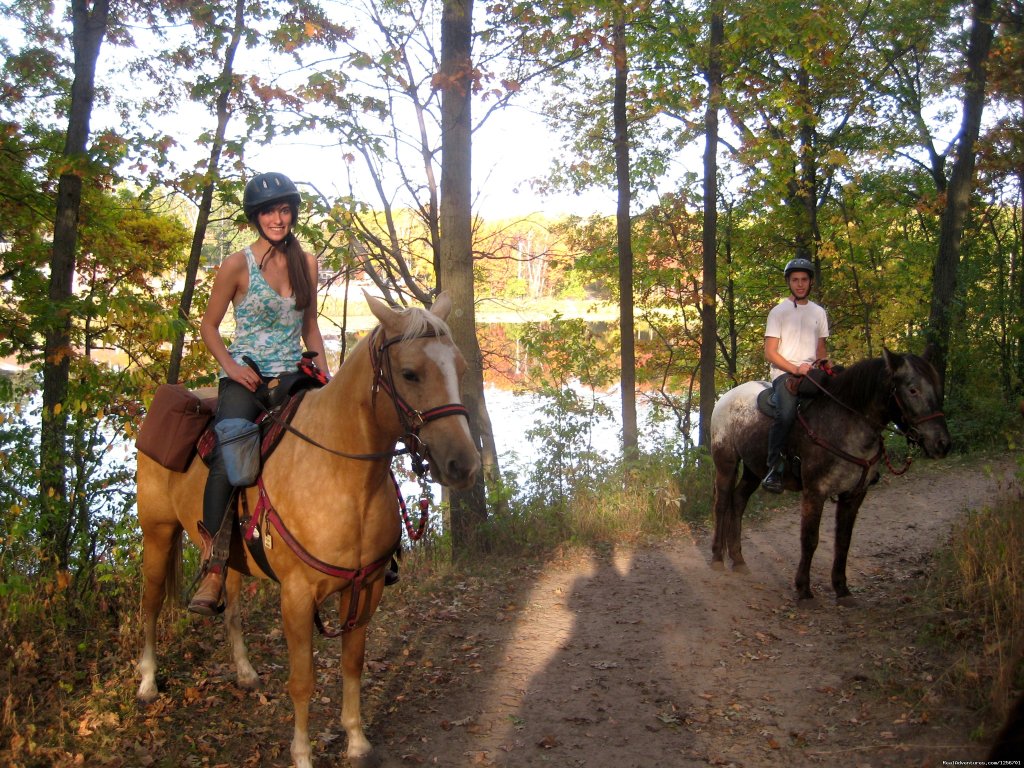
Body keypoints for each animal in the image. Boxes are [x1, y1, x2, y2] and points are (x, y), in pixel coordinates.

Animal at [135, 292, 479, 768]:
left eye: (460, 369)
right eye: (410, 373)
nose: (463, 465)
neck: (344, 477)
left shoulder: (365, 587)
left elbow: (353, 664)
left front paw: (356, 740)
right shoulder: (296, 597)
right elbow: (302, 680)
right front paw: (302, 754)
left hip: (230, 556)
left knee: (232, 606)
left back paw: (244, 671)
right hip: (157, 533)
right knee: (149, 605)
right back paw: (148, 682)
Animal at [708, 350, 946, 606]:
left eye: (937, 386)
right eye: (912, 390)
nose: (942, 443)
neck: (844, 424)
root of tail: (726, 396)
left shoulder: (854, 494)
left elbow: (843, 541)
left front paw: (842, 589)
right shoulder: (815, 492)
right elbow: (810, 539)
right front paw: (804, 589)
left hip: (754, 469)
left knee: (738, 501)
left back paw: (738, 560)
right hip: (726, 464)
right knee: (722, 504)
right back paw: (717, 558)